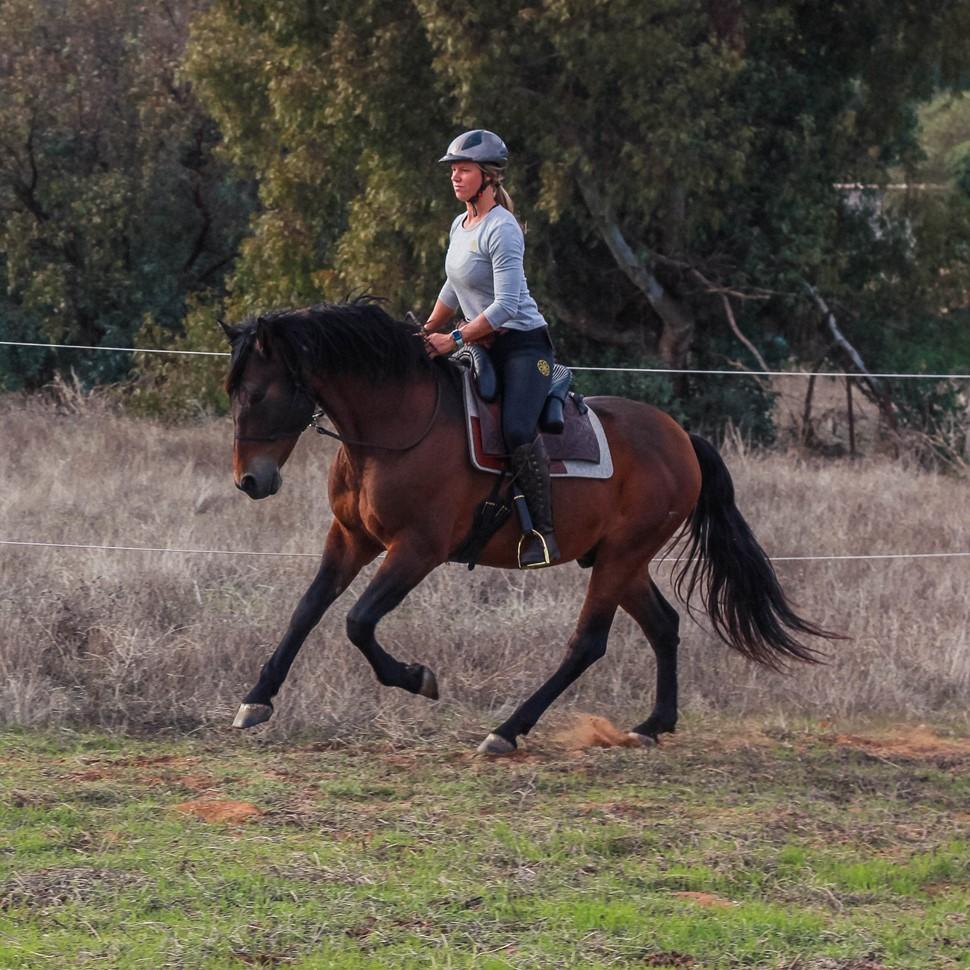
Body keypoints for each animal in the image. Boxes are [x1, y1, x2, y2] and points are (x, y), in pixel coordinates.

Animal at [219, 298, 832, 752]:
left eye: (257, 393)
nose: (249, 480)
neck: (396, 426)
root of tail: (682, 437)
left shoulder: (417, 549)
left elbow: (358, 622)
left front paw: (419, 678)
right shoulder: (351, 537)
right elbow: (307, 610)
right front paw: (257, 698)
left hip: (621, 558)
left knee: (588, 644)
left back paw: (507, 731)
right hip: (621, 559)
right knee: (663, 625)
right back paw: (653, 724)